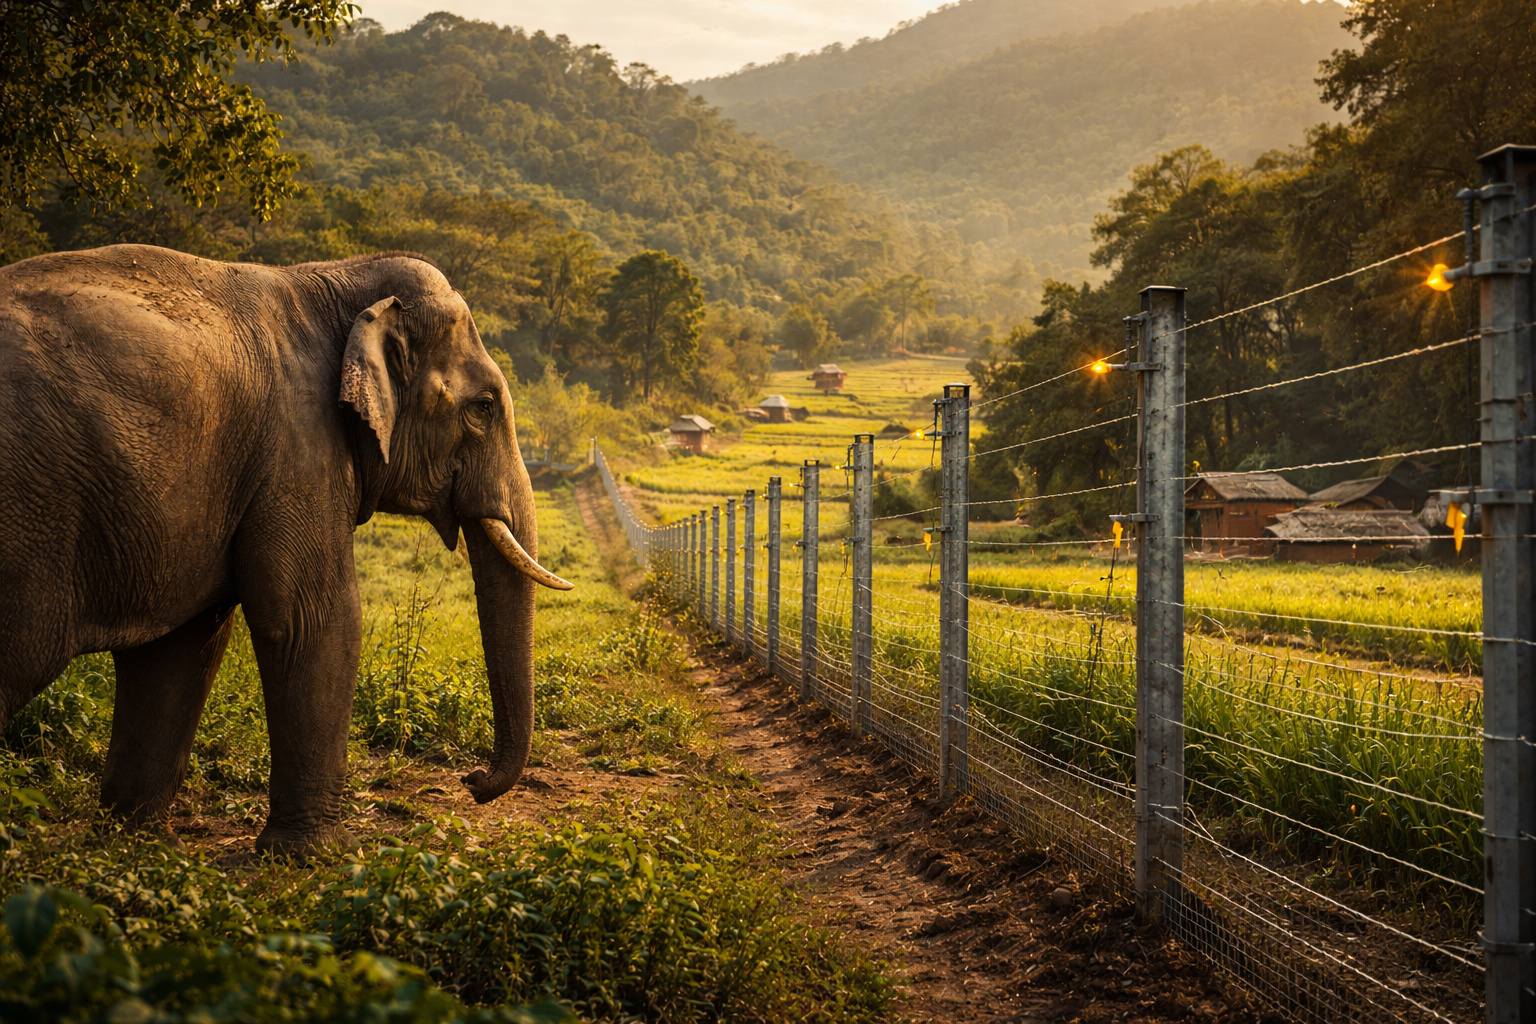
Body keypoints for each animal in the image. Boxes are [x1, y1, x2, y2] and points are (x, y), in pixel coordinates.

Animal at [0, 243, 573, 856]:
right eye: (484, 407)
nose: (472, 781)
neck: (340, 279)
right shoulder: (297, 446)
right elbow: (314, 620)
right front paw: (317, 853)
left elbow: (186, 643)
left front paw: (133, 839)